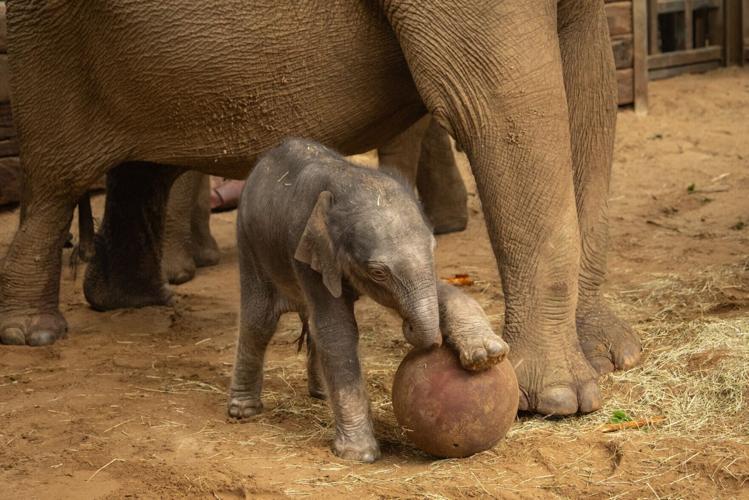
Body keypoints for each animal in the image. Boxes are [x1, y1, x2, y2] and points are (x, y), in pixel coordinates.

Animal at [229, 138, 508, 461]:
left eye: (435, 249)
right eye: (378, 272)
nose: (413, 330)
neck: (348, 180)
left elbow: (442, 289)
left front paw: (489, 355)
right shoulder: (305, 247)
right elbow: (337, 329)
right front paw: (358, 454)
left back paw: (320, 394)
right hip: (249, 242)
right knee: (259, 321)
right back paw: (243, 411)